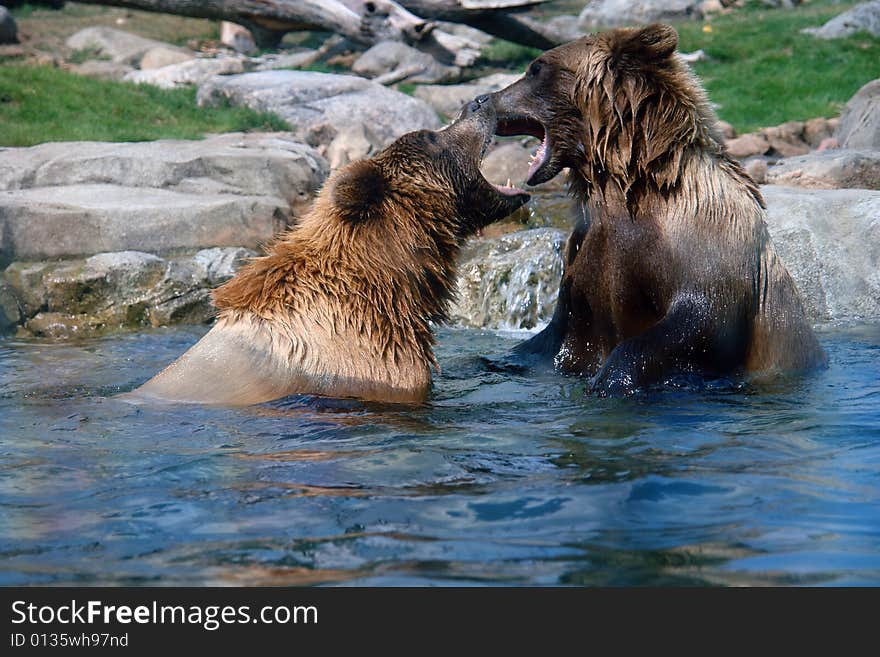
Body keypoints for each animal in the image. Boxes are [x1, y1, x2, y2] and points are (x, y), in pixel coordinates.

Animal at [488, 24, 824, 394]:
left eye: (536, 68)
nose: (483, 100)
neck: (621, 187)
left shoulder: (705, 246)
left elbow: (696, 320)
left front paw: (610, 380)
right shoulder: (586, 259)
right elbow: (553, 336)